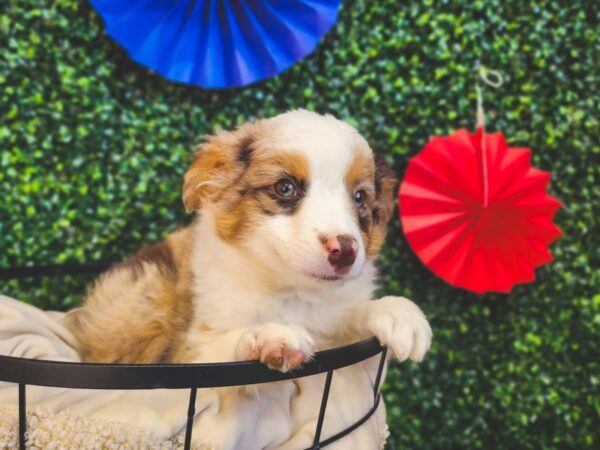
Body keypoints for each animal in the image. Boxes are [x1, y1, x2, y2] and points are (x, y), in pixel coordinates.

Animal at [65, 110, 432, 450]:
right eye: (285, 187)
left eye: (359, 198)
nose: (345, 250)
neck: (290, 291)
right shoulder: (186, 357)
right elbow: (222, 350)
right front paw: (269, 336)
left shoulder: (332, 321)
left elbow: (351, 314)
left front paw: (398, 313)